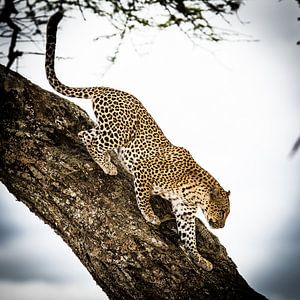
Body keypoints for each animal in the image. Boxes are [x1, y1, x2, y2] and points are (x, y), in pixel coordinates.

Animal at [45, 11, 231, 272]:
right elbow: (143, 199)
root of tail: (106, 88)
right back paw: (107, 165)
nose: (222, 227)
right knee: (86, 135)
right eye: (223, 211)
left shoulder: (184, 212)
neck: (195, 193)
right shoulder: (144, 173)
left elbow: (189, 238)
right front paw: (151, 216)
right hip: (119, 131)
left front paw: (201, 259)